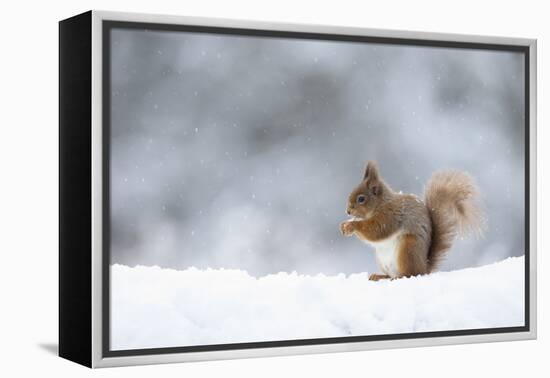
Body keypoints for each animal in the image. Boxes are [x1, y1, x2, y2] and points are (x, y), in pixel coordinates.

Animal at [340, 161, 488, 280]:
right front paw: (343, 226)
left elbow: (377, 230)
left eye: (361, 199)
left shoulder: (391, 215)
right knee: (391, 274)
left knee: (410, 274)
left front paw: (352, 225)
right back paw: (379, 276)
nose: (348, 211)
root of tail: (424, 267)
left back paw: (398, 277)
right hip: (383, 260)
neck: (381, 204)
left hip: (408, 248)